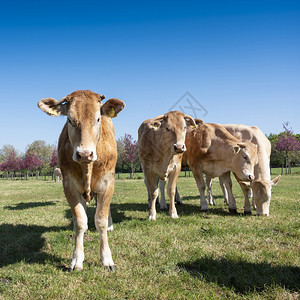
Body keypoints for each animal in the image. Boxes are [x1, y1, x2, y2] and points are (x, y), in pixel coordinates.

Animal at [38, 89, 125, 272]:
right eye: (70, 119)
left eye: (98, 118)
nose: (84, 154)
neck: (87, 168)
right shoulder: (69, 185)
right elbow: (79, 220)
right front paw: (77, 258)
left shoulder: (107, 184)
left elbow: (100, 220)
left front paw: (107, 259)